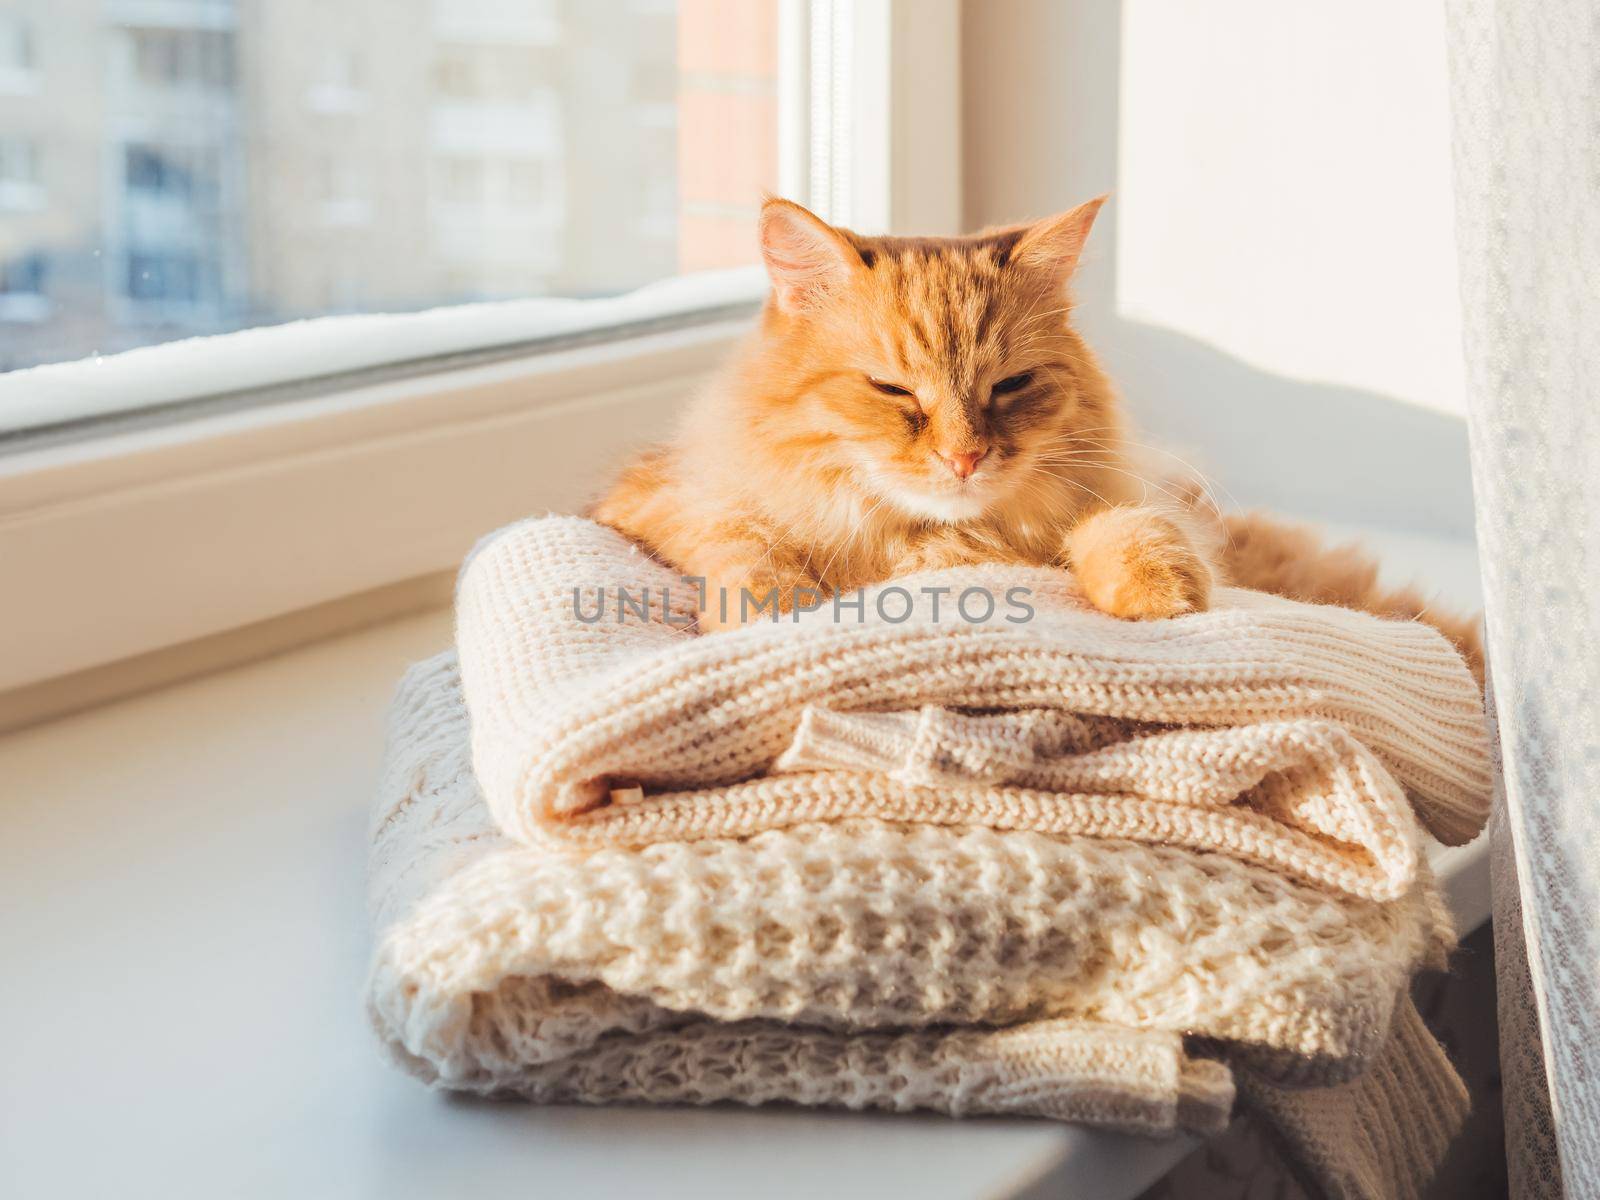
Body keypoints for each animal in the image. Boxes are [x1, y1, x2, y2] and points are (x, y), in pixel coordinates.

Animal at [595, 202, 1478, 681]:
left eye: (1009, 387)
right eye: (894, 391)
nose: (964, 457)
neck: (942, 541)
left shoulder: (1117, 499)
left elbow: (1127, 526)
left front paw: (1160, 589)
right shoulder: (658, 501)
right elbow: (742, 545)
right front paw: (781, 614)